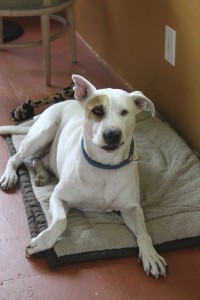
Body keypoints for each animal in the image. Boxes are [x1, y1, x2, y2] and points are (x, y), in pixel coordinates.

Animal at [0, 74, 166, 276]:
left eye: (124, 112)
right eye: (97, 110)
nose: (113, 134)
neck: (104, 165)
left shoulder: (132, 208)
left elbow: (144, 232)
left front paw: (151, 255)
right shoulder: (58, 196)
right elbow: (61, 221)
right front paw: (43, 241)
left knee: (36, 159)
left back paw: (42, 174)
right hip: (44, 133)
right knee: (18, 157)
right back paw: (10, 175)